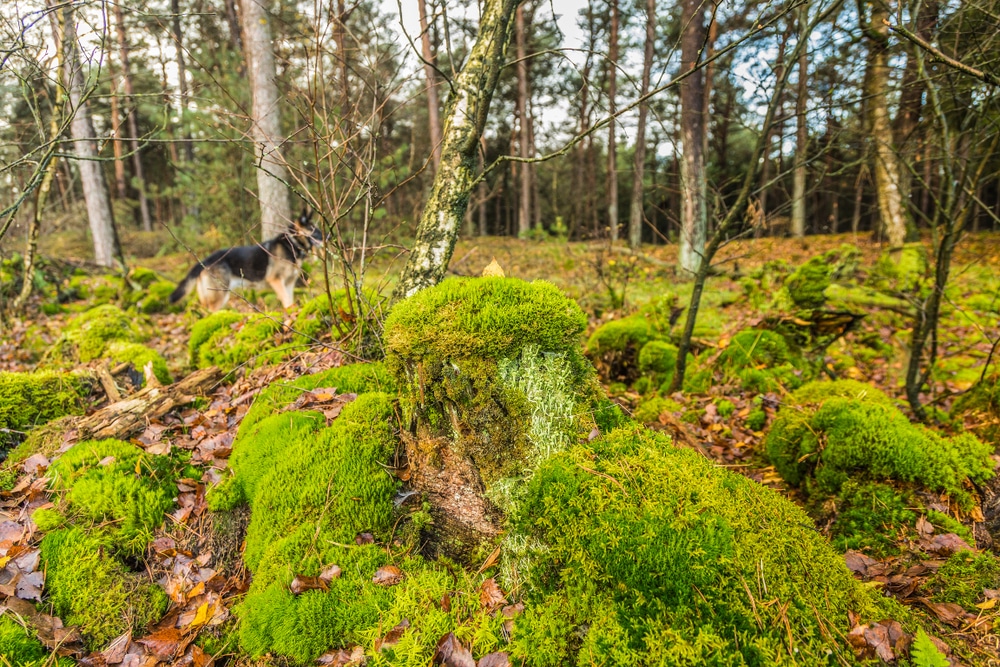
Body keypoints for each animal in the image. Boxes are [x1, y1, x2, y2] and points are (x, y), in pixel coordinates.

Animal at [170, 210, 322, 312]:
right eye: (314, 231)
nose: (327, 237)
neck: (292, 243)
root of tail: (205, 260)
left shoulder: (289, 284)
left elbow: (289, 301)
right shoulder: (276, 281)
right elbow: (285, 300)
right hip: (219, 294)